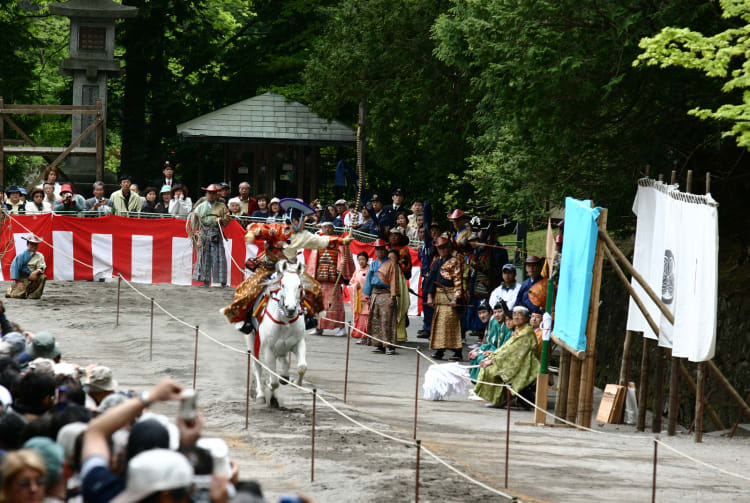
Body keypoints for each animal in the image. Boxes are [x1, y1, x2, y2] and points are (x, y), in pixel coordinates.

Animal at [244, 260, 308, 410]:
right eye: (283, 284)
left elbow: (302, 367)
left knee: (284, 363)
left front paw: (297, 383)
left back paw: (284, 377)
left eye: (299, 285)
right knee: (257, 365)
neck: (285, 320)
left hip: (282, 348)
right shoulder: (268, 349)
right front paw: (268, 389)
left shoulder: (298, 342)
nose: (291, 309)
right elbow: (273, 381)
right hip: (252, 340)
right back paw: (261, 395)